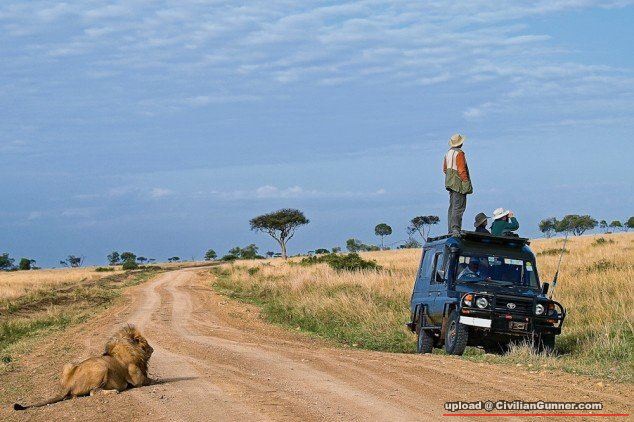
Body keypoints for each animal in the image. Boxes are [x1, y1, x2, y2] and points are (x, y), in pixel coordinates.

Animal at [14, 325, 153, 410]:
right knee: (93, 392)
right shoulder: (137, 380)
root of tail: (68, 384)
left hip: (68, 365)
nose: (152, 349)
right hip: (102, 367)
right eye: (145, 343)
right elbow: (151, 380)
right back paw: (114, 391)